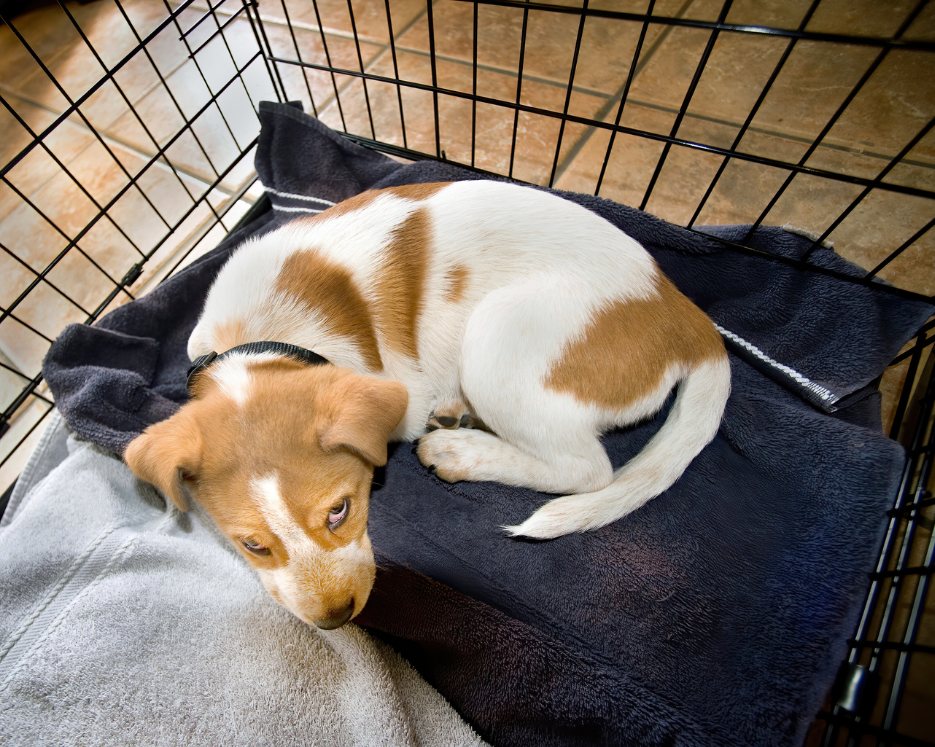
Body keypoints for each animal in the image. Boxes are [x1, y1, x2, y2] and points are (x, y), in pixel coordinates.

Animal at [126, 180, 732, 624]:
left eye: (340, 510)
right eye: (252, 546)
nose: (337, 619)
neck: (264, 335)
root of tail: (684, 314)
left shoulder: (399, 395)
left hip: (497, 335)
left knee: (585, 470)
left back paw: (460, 450)